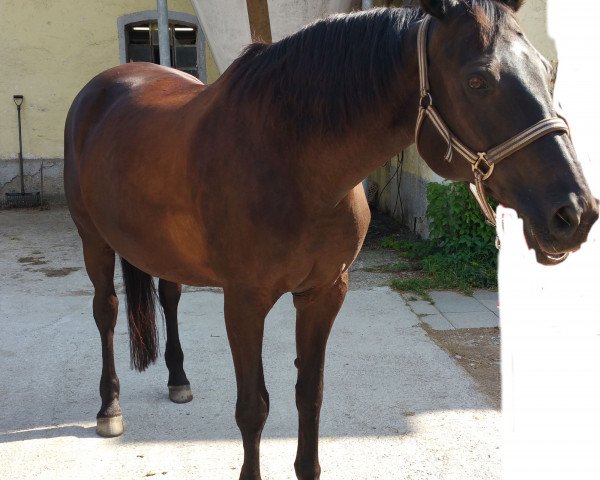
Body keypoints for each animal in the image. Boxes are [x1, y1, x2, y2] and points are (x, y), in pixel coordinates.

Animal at [63, 0, 596, 480]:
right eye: (477, 81)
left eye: (547, 70)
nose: (574, 213)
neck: (293, 160)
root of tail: (104, 85)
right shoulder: (244, 301)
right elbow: (253, 407)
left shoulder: (324, 292)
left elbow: (310, 394)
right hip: (94, 241)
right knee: (106, 311)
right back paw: (109, 408)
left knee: (169, 297)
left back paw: (178, 380)